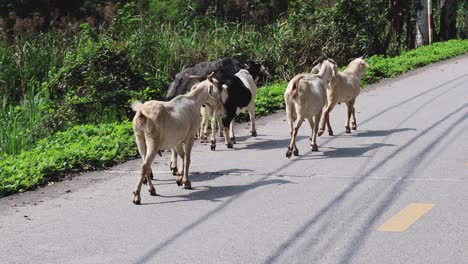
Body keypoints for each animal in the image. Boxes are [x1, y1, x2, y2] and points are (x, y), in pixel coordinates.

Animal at [132, 76, 219, 204]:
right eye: (216, 89)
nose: (217, 103)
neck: (194, 100)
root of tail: (142, 113)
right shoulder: (190, 136)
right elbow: (187, 158)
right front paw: (186, 182)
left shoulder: (177, 140)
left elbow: (182, 155)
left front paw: (179, 177)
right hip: (152, 141)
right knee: (144, 166)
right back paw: (137, 196)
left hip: (139, 138)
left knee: (146, 164)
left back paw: (151, 189)